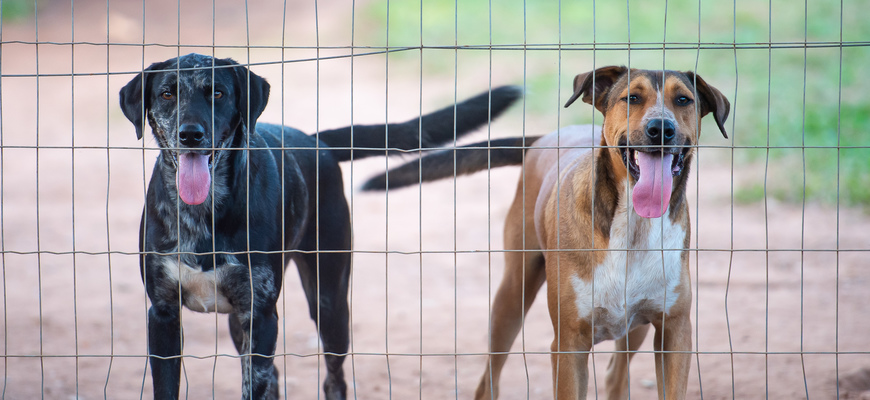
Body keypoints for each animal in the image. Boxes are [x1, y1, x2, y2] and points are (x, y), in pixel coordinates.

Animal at [119, 54, 520, 400]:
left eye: (217, 92)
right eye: (167, 93)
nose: (191, 134)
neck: (204, 213)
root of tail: (317, 140)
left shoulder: (261, 315)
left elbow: (260, 382)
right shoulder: (164, 314)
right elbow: (168, 387)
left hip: (330, 303)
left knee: (332, 379)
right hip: (240, 320)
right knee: (274, 376)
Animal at [362, 66, 728, 400]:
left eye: (683, 99)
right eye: (632, 98)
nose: (661, 128)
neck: (634, 228)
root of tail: (544, 137)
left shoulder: (674, 334)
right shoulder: (569, 345)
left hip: (635, 328)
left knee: (616, 375)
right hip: (511, 298)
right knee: (489, 379)